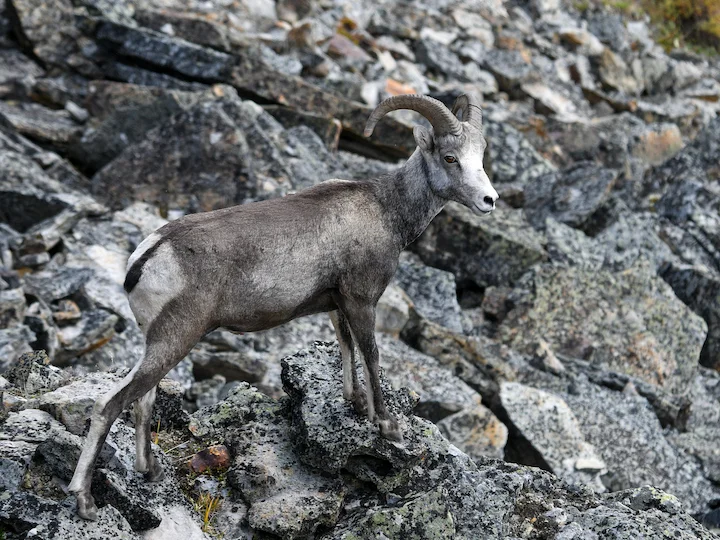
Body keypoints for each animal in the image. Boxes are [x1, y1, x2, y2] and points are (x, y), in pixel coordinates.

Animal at [68, 93, 498, 520]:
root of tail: (146, 257)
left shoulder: (337, 305)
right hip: (176, 338)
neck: (386, 210)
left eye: (480, 155)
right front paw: (387, 426)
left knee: (143, 400)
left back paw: (150, 471)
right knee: (109, 405)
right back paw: (85, 501)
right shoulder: (361, 300)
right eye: (450, 158)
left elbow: (345, 345)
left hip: (158, 344)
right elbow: (370, 353)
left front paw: (355, 403)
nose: (489, 200)